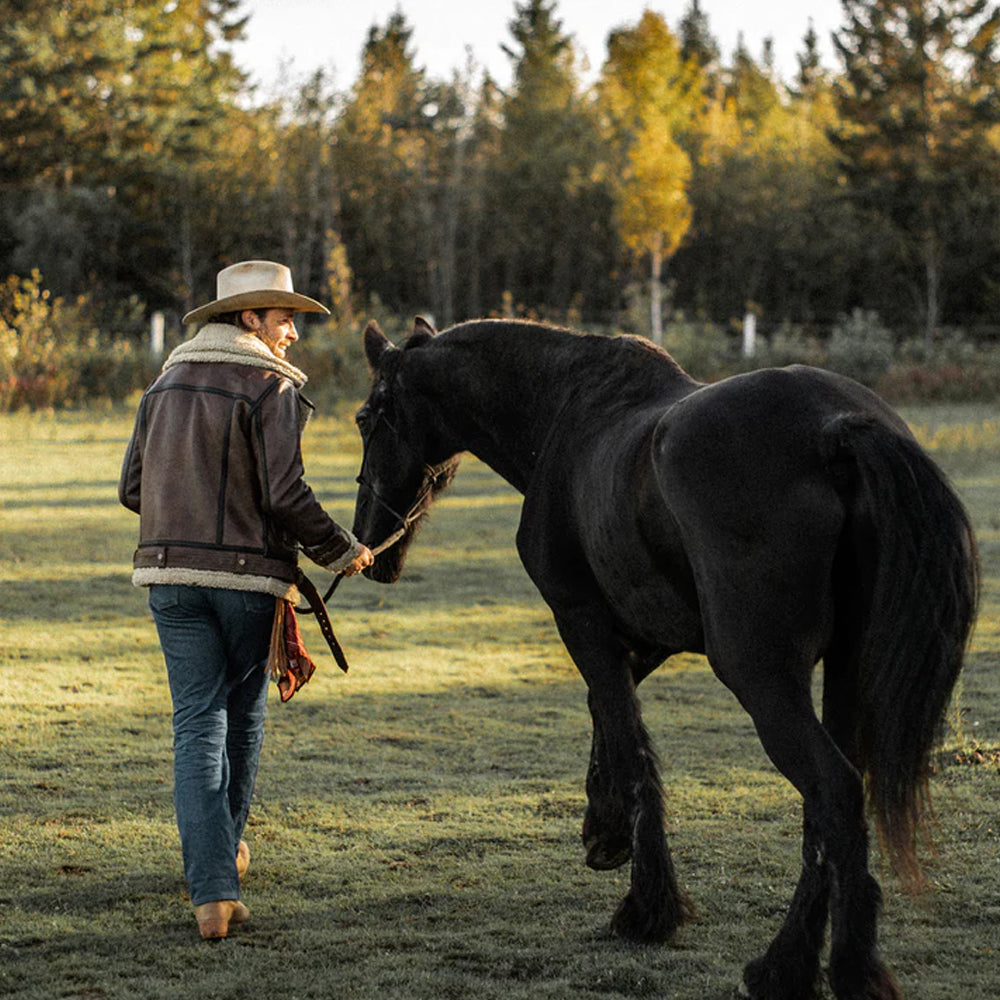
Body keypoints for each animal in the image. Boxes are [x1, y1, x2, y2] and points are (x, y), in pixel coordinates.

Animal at [350, 314, 976, 1000]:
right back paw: (785, 966)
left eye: (366, 419)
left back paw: (842, 969)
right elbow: (607, 714)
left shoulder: (583, 622)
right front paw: (605, 829)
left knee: (832, 791)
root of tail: (834, 430)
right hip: (842, 673)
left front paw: (647, 905)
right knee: (827, 806)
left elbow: (627, 739)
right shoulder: (647, 636)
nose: (367, 544)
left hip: (761, 678)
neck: (568, 413)